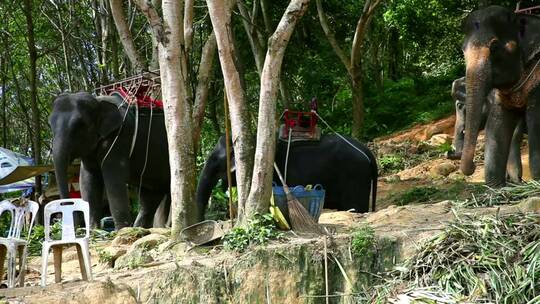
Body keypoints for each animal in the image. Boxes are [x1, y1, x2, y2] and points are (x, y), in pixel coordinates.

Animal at [50, 91, 171, 229]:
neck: (98, 101)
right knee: (150, 197)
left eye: (80, 125)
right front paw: (94, 230)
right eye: (50, 125)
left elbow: (114, 180)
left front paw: (122, 230)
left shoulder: (119, 139)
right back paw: (140, 228)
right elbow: (88, 180)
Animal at [460, 5, 540, 186]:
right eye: (462, 50)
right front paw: (495, 188)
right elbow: (496, 126)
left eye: (495, 46)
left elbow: (536, 124)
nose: (473, 166)